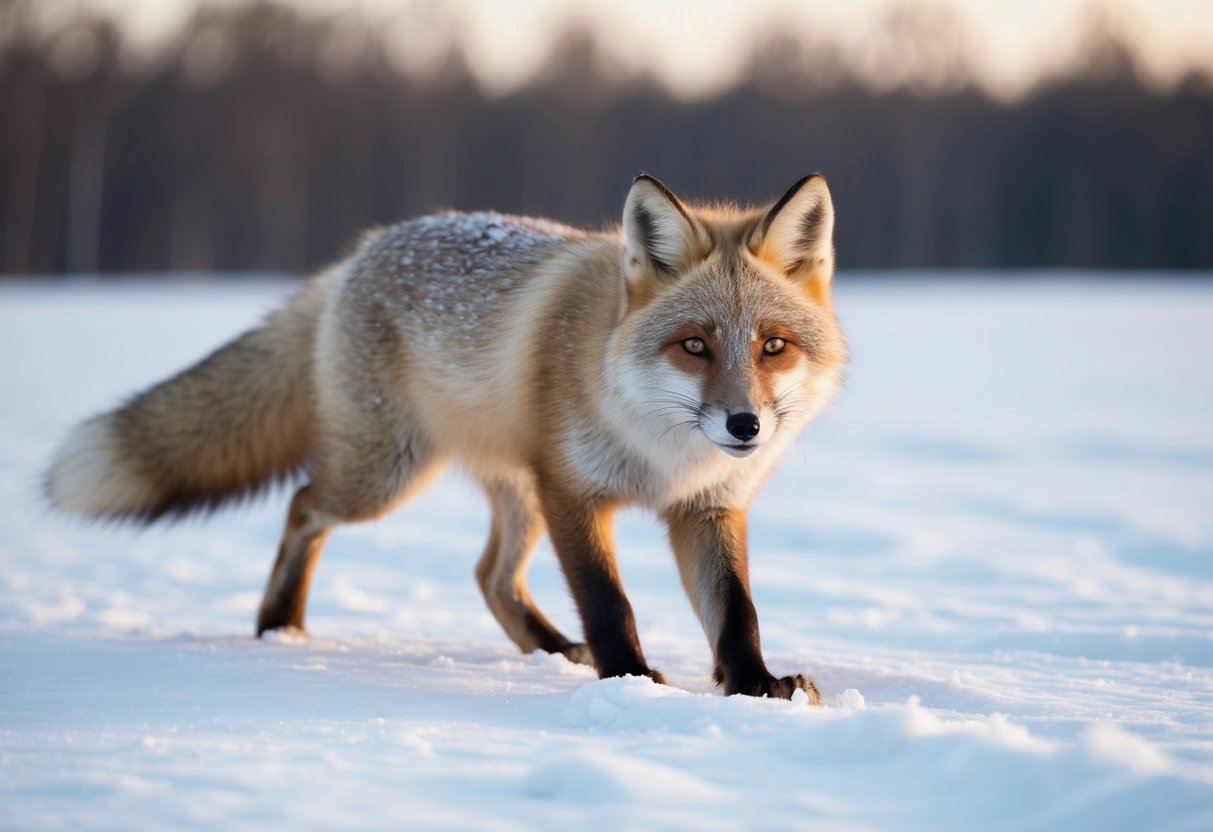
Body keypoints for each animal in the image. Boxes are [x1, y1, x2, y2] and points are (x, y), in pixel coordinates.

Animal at [45, 173, 846, 702]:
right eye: (694, 346)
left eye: (773, 346)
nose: (744, 425)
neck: (662, 452)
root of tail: (362, 251)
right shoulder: (573, 492)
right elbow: (608, 602)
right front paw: (626, 681)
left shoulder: (707, 507)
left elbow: (735, 612)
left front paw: (755, 684)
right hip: (389, 476)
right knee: (304, 505)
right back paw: (280, 627)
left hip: (512, 492)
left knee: (489, 575)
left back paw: (551, 650)